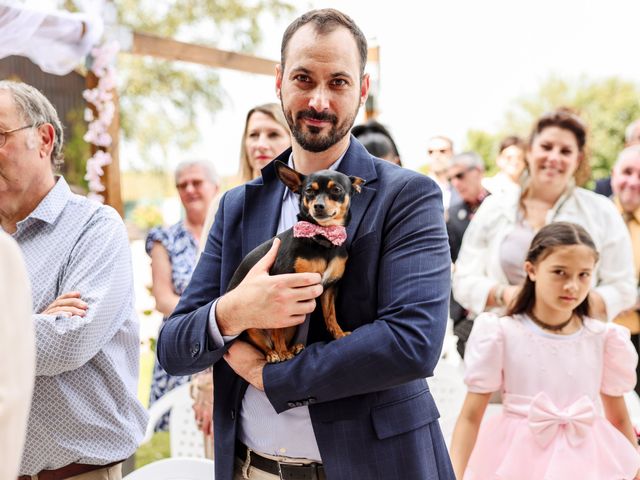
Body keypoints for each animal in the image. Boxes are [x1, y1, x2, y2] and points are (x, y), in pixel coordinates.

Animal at [228, 159, 362, 362]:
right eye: (309, 191)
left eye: (336, 190)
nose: (318, 206)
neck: (322, 238)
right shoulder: (280, 292)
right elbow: (277, 328)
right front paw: (282, 353)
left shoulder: (329, 289)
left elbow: (330, 316)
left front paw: (338, 334)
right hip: (252, 327)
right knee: (264, 343)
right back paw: (276, 353)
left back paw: (293, 348)